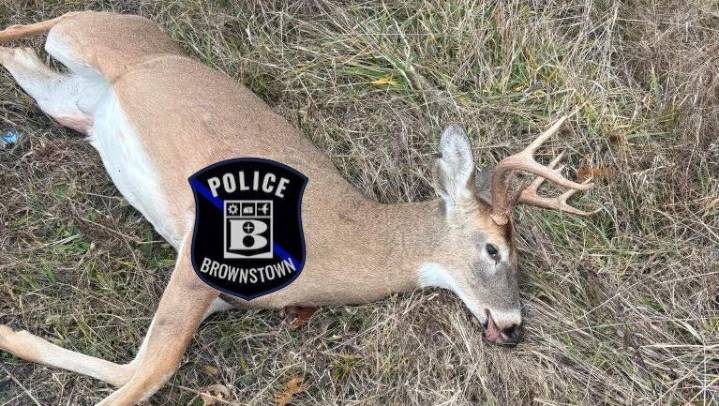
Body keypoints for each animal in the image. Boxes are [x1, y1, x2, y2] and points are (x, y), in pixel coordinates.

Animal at [0, 11, 597, 405]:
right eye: (494, 249)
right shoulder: (202, 252)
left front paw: (12, 336)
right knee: (46, 20)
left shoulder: (221, 299)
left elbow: (132, 367)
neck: (347, 240)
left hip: (68, 102)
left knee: (24, 61)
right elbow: (153, 370)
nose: (514, 327)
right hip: (82, 35)